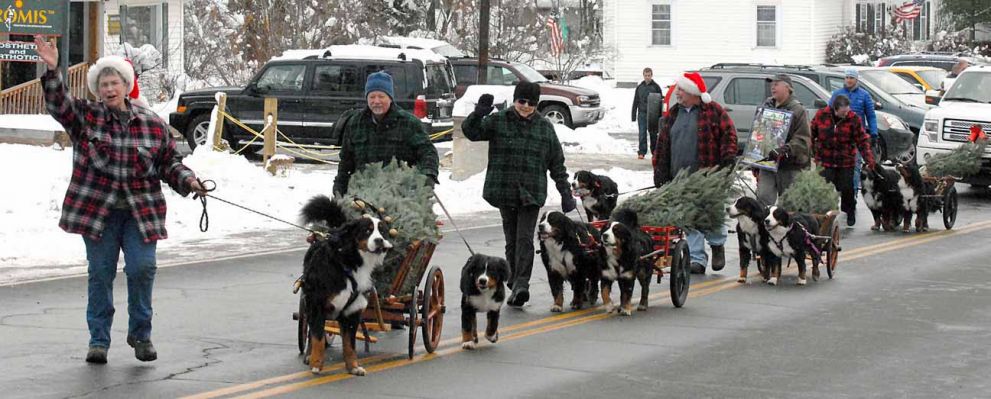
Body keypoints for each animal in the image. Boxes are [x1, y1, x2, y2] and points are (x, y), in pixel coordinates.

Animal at [298, 195, 392, 376]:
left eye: (383, 231)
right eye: (367, 231)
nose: (379, 240)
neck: (350, 263)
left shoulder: (352, 312)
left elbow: (350, 345)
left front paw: (354, 367)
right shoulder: (317, 305)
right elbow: (318, 338)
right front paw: (316, 365)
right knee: (311, 334)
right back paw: (309, 356)